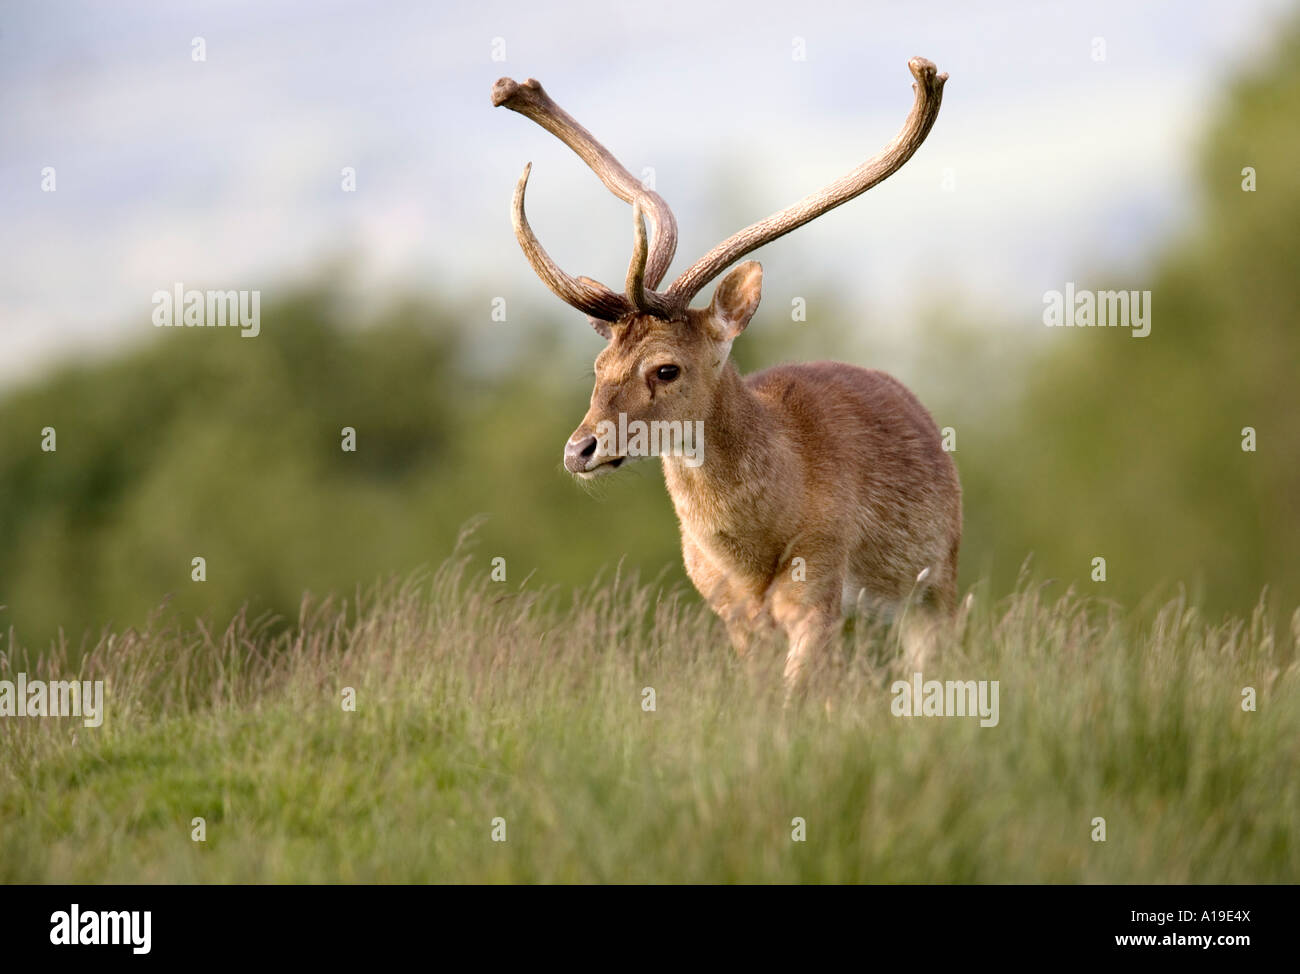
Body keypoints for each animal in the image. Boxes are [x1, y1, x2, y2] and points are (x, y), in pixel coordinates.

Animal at [491, 58, 961, 691]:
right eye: (598, 366)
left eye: (666, 368)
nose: (579, 449)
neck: (752, 555)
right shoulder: (729, 611)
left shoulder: (819, 585)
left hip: (937, 584)